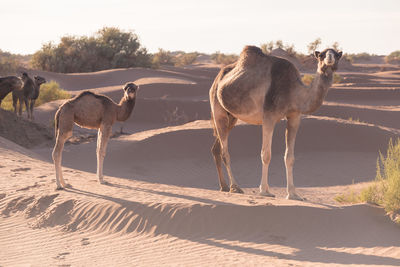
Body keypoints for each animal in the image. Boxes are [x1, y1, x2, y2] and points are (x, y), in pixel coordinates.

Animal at [208, 46, 342, 201]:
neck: (294, 92)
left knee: (216, 148)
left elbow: (289, 157)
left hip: (232, 117)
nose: (329, 59)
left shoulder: (294, 116)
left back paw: (223, 186)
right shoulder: (269, 117)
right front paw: (264, 191)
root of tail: (217, 80)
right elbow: (266, 154)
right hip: (218, 109)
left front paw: (293, 194)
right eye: (321, 55)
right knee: (225, 152)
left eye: (337, 55)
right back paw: (235, 187)